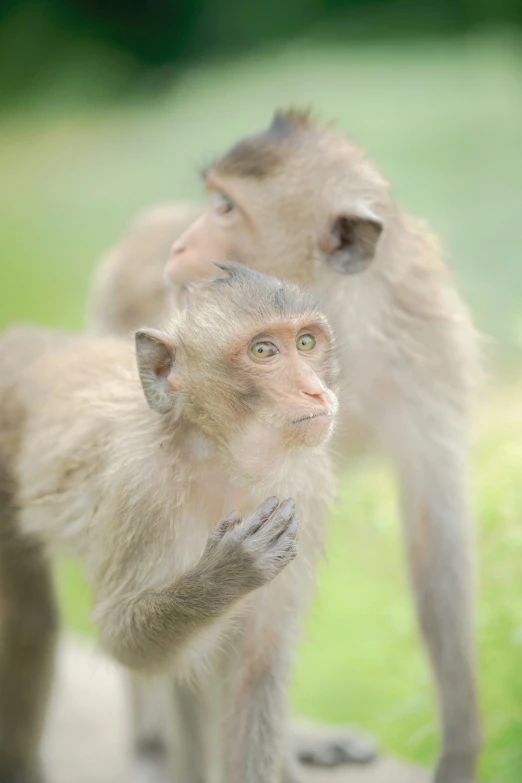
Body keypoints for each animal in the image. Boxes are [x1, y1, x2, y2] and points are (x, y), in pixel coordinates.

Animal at [0, 264, 338, 783]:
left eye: (305, 342)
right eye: (263, 351)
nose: (315, 390)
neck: (219, 454)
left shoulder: (305, 489)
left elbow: (253, 666)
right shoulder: (141, 489)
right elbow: (123, 639)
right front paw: (225, 575)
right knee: (28, 617)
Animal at [88, 112, 480, 783]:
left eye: (225, 207)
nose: (178, 247)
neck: (342, 317)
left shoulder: (425, 344)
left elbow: (437, 535)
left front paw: (460, 754)